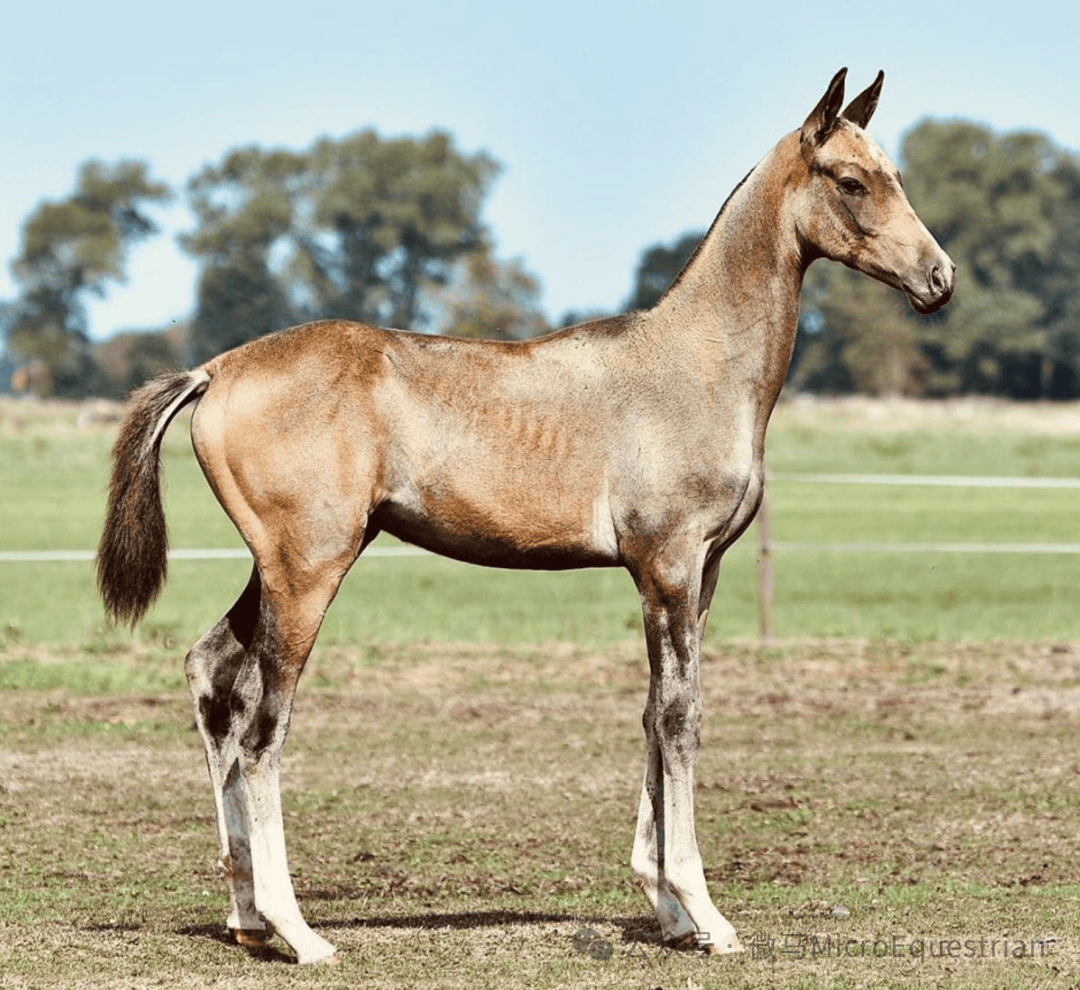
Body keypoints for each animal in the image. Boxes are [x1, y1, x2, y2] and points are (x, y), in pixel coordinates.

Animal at [95, 71, 954, 967]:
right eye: (851, 181)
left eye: (892, 173)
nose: (940, 279)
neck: (694, 365)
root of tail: (216, 369)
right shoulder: (671, 567)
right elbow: (680, 720)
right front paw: (705, 914)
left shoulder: (696, 576)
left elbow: (652, 715)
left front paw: (668, 911)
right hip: (307, 573)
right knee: (264, 729)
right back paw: (297, 930)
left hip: (282, 568)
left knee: (212, 676)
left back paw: (247, 918)